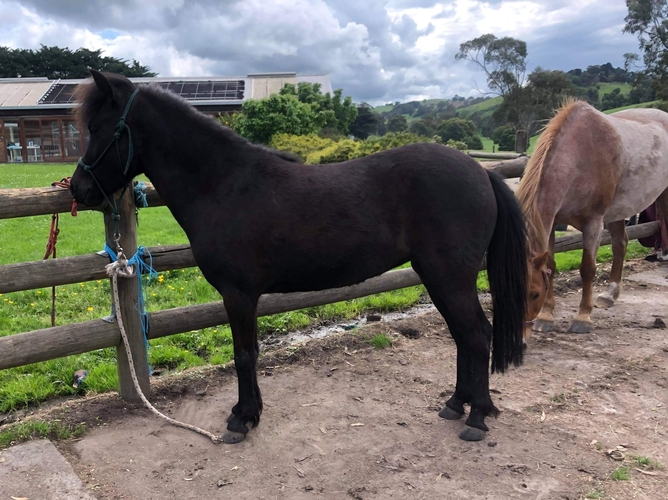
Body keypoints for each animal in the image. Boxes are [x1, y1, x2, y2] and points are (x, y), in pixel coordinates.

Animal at [69, 70, 528, 443]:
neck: (223, 184)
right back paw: (456, 405)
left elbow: (244, 355)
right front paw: (248, 413)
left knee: (476, 335)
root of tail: (481, 172)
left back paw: (476, 418)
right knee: (464, 335)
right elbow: (248, 354)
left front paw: (242, 419)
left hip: (448, 276)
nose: (78, 189)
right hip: (438, 277)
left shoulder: (238, 295)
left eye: (97, 127)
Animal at [518, 99, 668, 338]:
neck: (579, 155)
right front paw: (547, 316)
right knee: (621, 244)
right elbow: (550, 265)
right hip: (618, 211)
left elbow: (587, 269)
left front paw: (582, 317)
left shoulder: (594, 223)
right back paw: (610, 294)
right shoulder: (551, 223)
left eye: (534, 294)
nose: (520, 339)